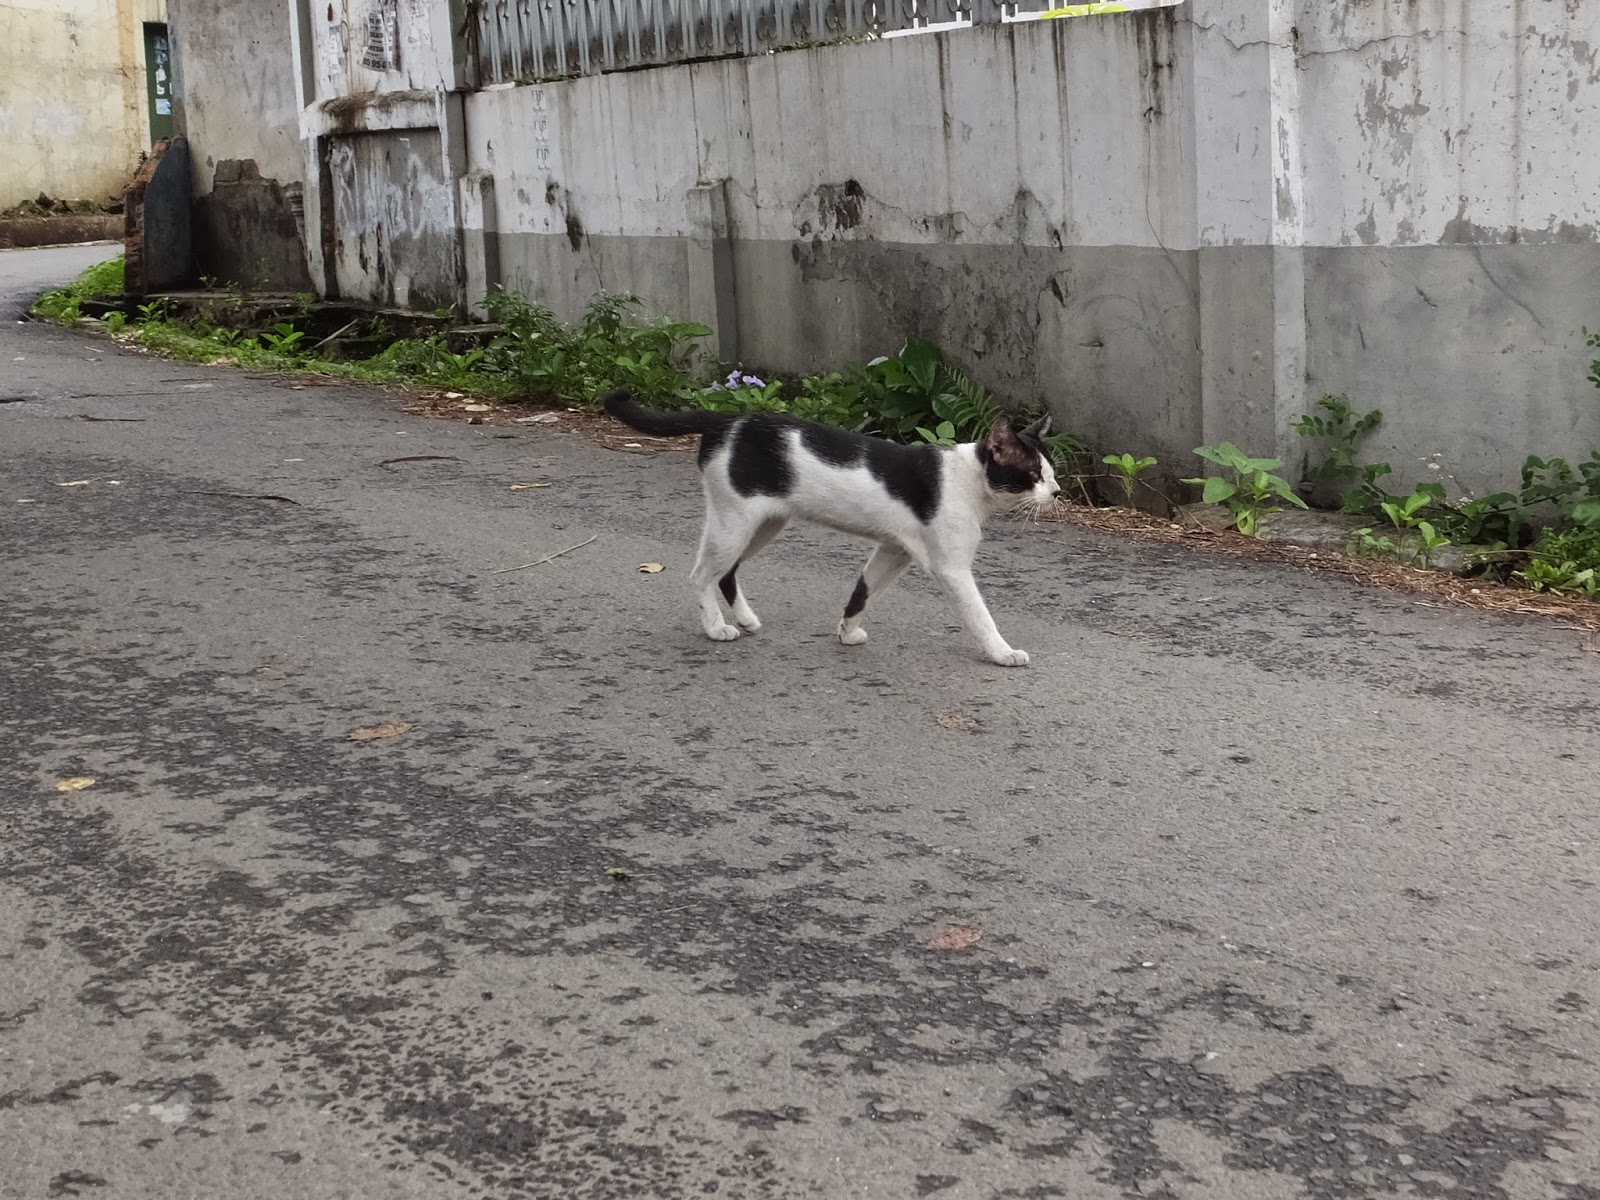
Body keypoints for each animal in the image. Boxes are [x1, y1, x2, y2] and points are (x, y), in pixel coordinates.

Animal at [603, 389, 1060, 666]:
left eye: (1052, 473)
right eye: (1033, 475)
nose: (1056, 492)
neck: (968, 481)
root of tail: (726, 419)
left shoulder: (893, 551)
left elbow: (863, 590)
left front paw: (847, 631)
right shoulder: (951, 567)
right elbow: (981, 616)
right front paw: (1003, 652)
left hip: (764, 524)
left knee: (726, 572)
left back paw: (746, 620)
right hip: (734, 522)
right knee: (701, 574)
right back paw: (717, 629)